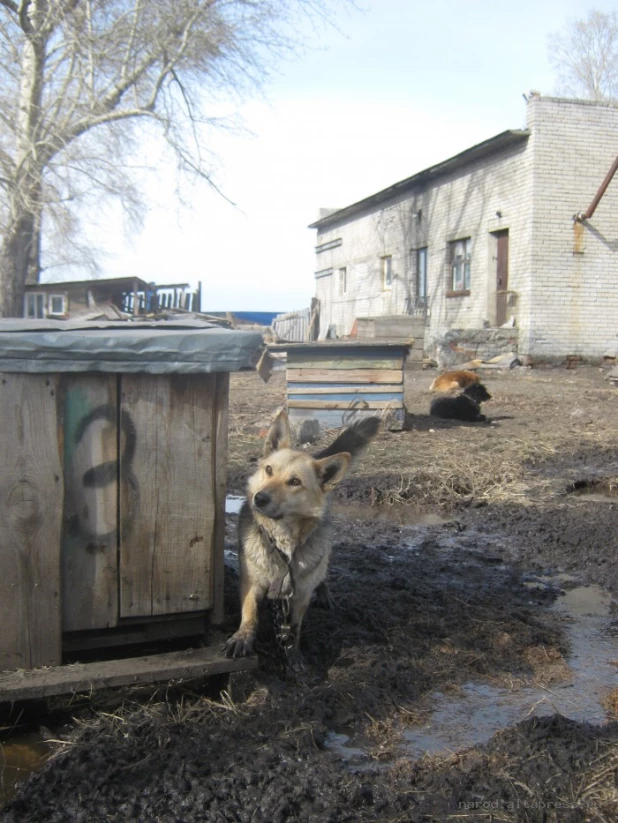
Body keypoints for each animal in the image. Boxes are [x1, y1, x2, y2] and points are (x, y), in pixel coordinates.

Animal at [224, 408, 378, 668]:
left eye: (294, 482)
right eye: (268, 470)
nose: (259, 498)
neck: (282, 541)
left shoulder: (300, 594)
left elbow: (294, 626)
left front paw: (292, 653)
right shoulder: (251, 582)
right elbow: (250, 612)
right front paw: (243, 637)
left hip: (321, 555)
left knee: (322, 572)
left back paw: (324, 593)